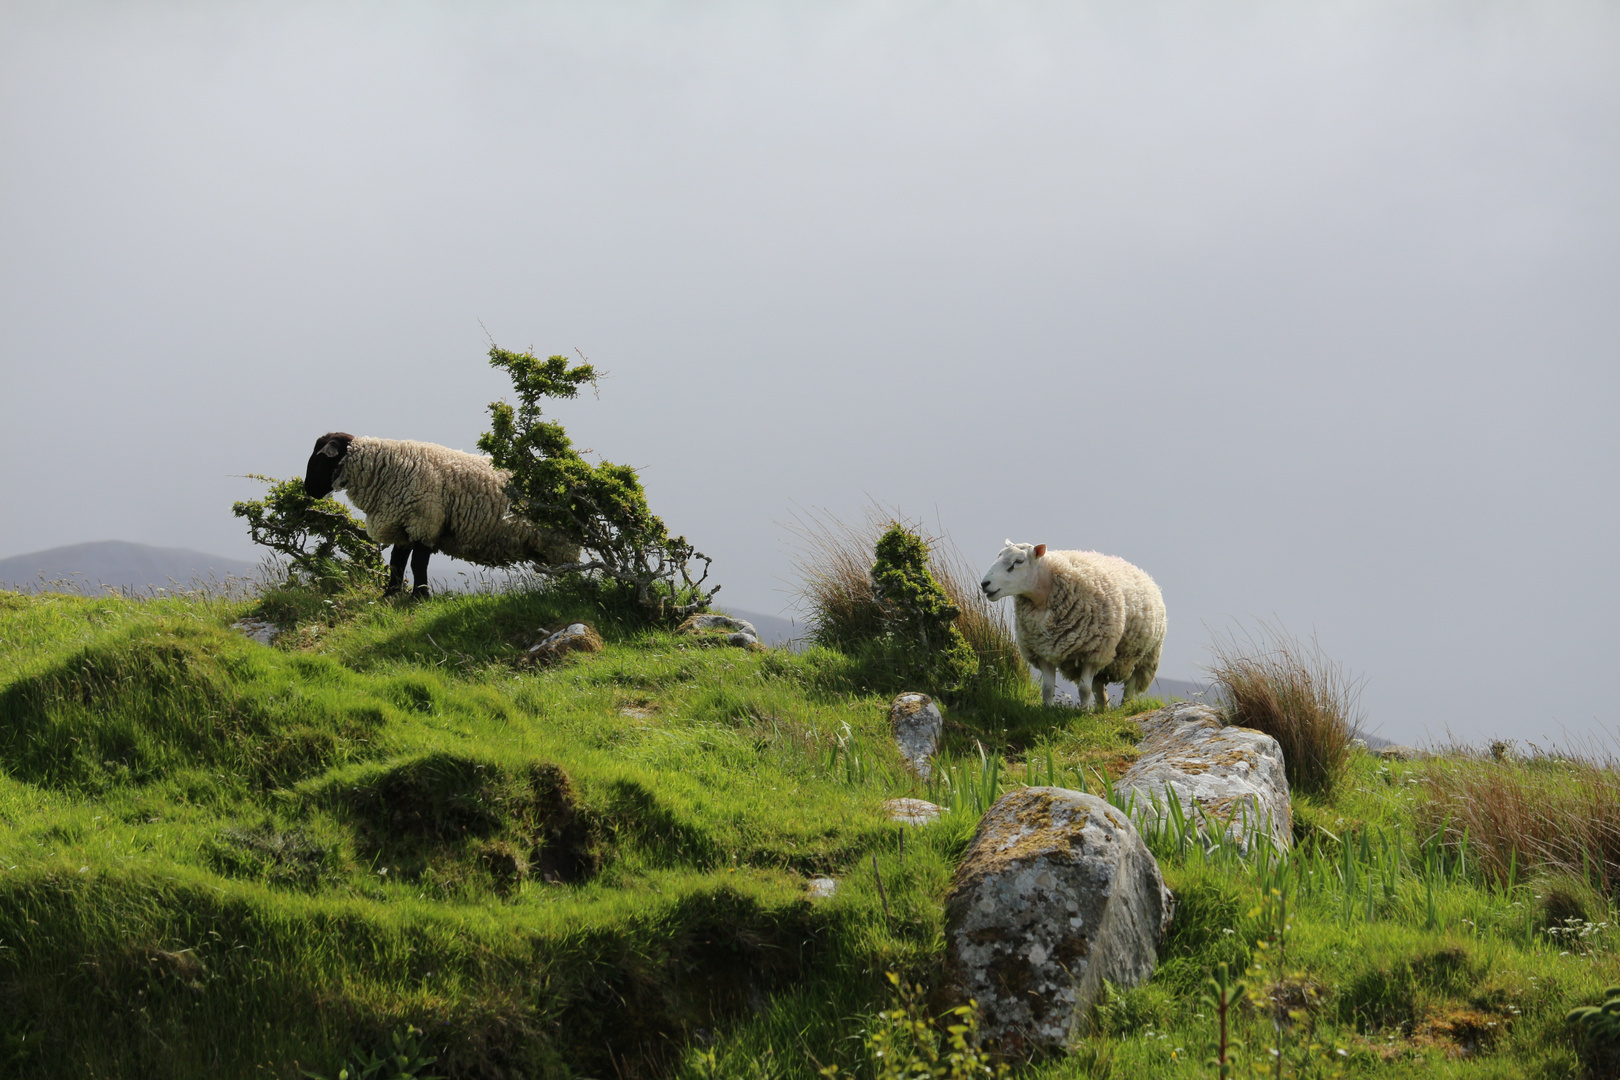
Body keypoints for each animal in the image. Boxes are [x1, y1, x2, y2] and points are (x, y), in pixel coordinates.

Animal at [304, 433, 583, 599]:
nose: (308, 490)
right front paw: (390, 595)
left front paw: (420, 597)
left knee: (571, 574)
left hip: (563, 545)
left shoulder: (425, 523)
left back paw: (569, 594)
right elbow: (396, 563)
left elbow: (418, 564)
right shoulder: (404, 526)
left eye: (320, 459)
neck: (383, 469)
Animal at [972, 544, 1166, 712]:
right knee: (1099, 687)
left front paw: (1083, 712)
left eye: (1018, 562)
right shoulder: (1043, 651)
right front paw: (1047, 710)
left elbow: (1084, 689)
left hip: (1145, 656)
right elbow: (1048, 688)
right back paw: (1101, 709)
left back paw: (1123, 707)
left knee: (1130, 686)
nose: (985, 584)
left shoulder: (1092, 652)